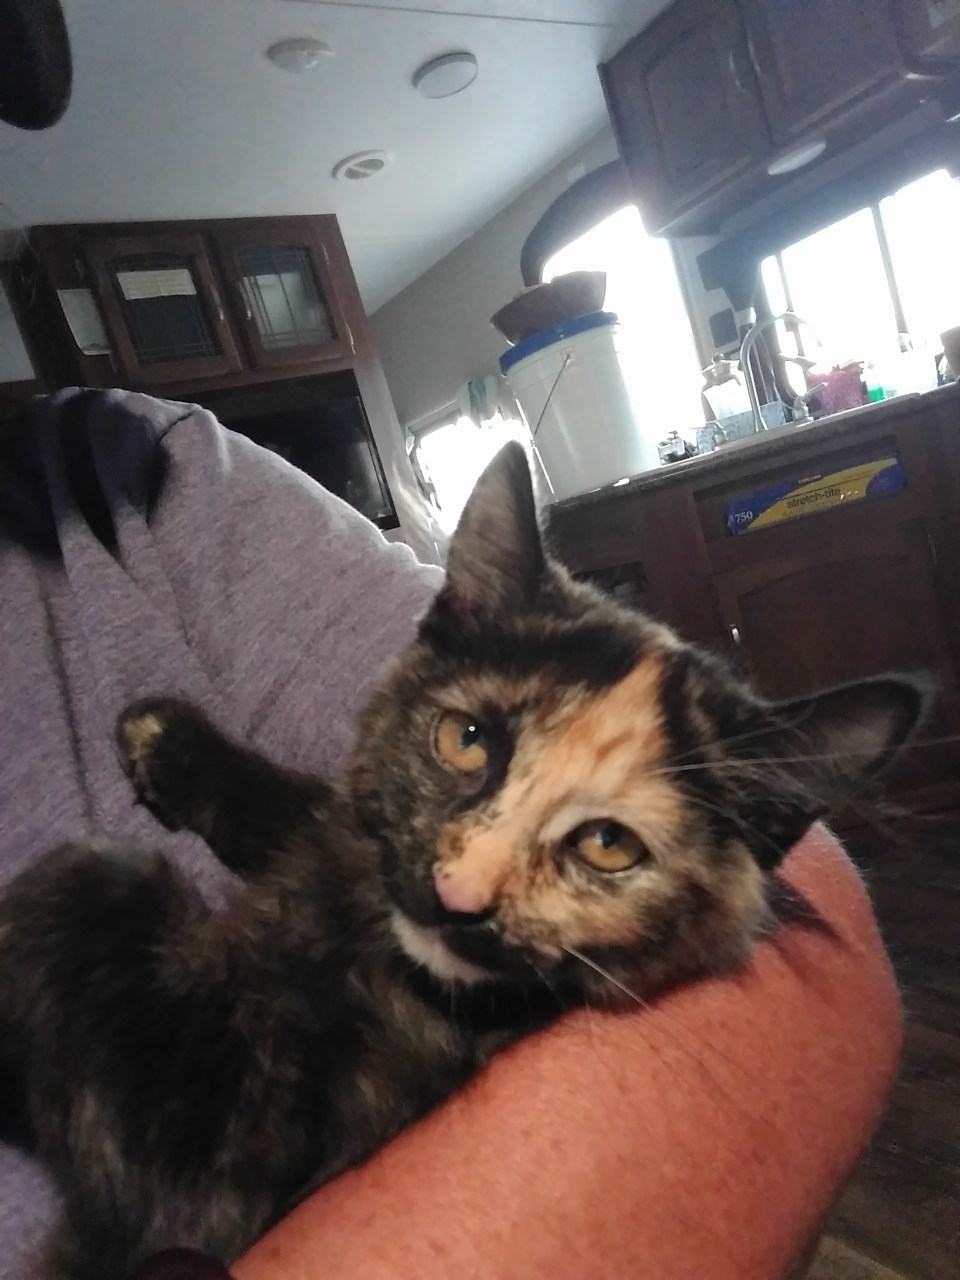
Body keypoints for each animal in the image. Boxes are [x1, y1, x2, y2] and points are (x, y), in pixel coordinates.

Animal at [0, 442, 924, 1280]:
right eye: (466, 740)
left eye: (608, 846)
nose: (457, 893)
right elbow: (329, 813)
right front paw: (170, 742)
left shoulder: (201, 1175)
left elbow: (87, 882)